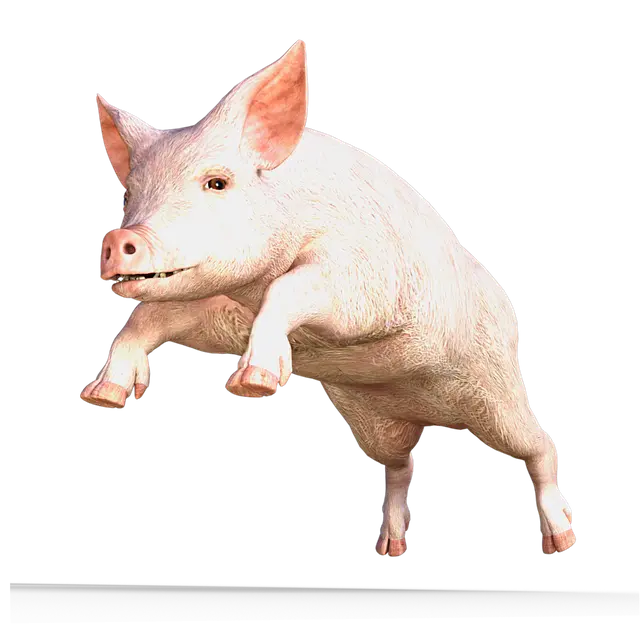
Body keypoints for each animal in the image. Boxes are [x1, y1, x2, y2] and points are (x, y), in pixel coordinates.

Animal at [81, 38, 576, 558]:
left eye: (217, 182)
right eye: (133, 192)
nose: (118, 239)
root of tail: (432, 416)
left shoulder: (367, 280)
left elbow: (291, 287)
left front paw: (252, 384)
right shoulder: (222, 310)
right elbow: (149, 318)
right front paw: (104, 396)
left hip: (495, 393)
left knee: (539, 447)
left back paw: (562, 540)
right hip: (373, 422)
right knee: (399, 466)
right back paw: (388, 548)